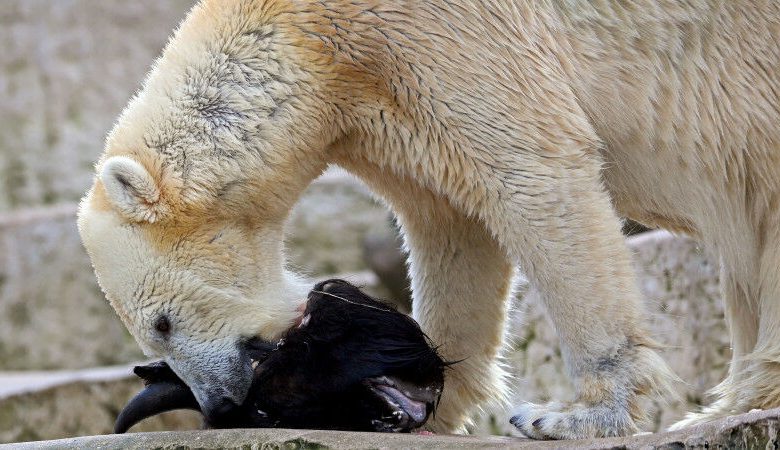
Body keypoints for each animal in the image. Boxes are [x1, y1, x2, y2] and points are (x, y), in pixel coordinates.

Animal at [77, 0, 780, 438]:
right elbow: (454, 231)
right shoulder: (385, 106)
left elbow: (535, 173)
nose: (222, 400)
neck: (309, 34)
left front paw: (568, 417)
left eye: (162, 324)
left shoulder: (449, 36)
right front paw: (431, 397)